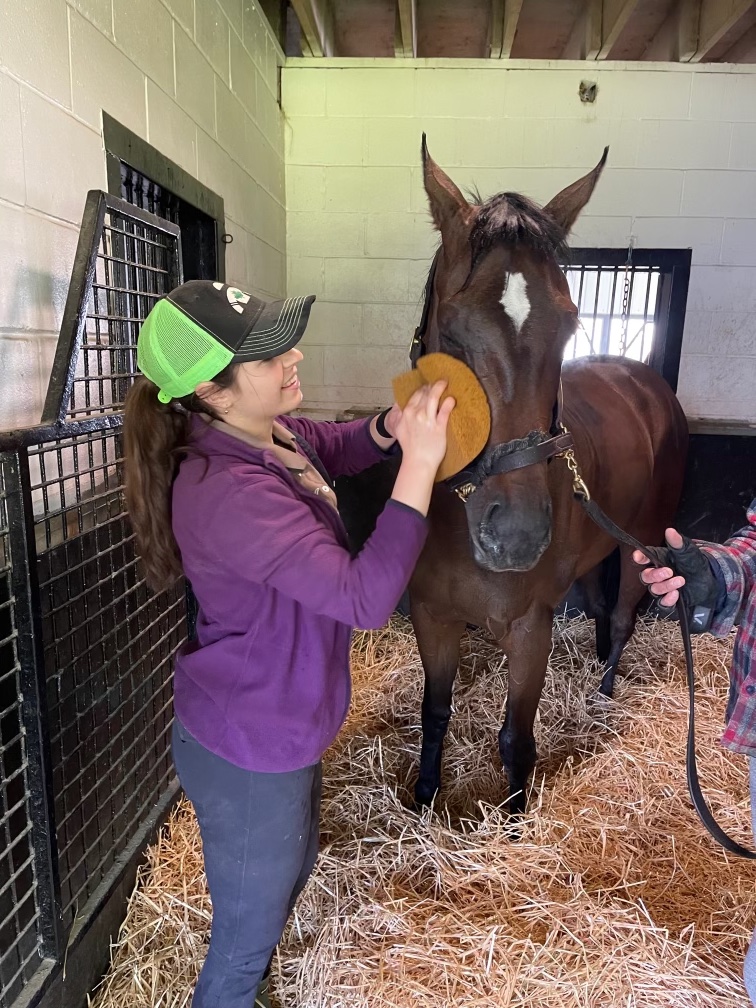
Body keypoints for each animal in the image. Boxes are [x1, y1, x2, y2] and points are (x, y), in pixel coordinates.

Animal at [339, 140, 688, 816]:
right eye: (452, 332)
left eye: (571, 324)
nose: (517, 537)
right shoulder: (433, 616)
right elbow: (436, 713)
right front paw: (424, 799)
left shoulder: (530, 631)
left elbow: (516, 740)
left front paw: (515, 822)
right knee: (603, 610)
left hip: (642, 545)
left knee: (624, 616)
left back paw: (602, 694)